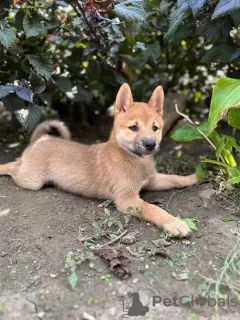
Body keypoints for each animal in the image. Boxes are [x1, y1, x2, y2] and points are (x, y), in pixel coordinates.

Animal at [0, 84, 198, 236]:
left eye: (155, 128)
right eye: (133, 127)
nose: (150, 144)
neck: (131, 159)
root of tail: (41, 139)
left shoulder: (152, 180)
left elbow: (174, 178)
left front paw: (195, 177)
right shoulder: (127, 199)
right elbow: (153, 208)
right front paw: (174, 223)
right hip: (31, 180)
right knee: (13, 165)